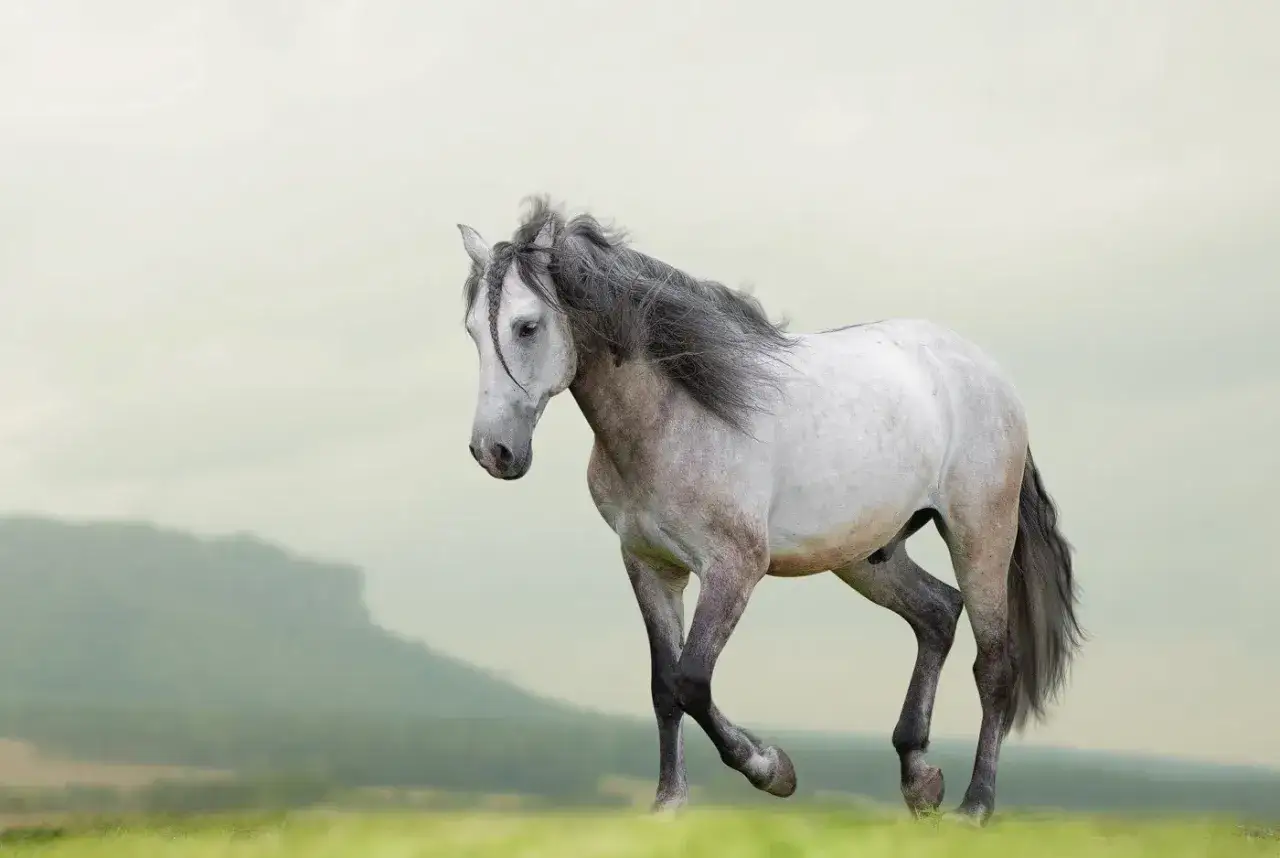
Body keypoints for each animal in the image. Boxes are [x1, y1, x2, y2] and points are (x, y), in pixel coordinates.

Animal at [455, 197, 1082, 825]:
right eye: (472, 331)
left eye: (527, 325)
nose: (494, 452)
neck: (678, 415)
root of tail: (991, 378)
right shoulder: (649, 566)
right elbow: (663, 687)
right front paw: (668, 805)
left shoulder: (734, 568)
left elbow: (692, 680)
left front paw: (773, 770)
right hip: (867, 556)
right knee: (937, 614)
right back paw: (920, 781)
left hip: (980, 535)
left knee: (995, 664)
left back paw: (974, 807)